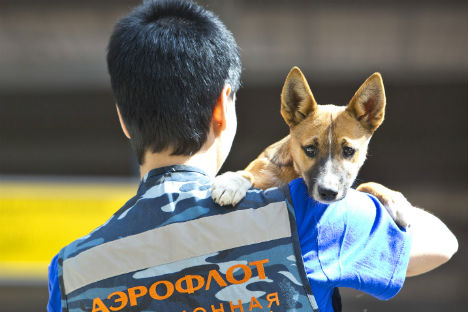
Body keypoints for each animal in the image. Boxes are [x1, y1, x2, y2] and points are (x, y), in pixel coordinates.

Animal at [211, 66, 410, 227]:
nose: (328, 193)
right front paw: (232, 182)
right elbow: (248, 173)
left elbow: (367, 184)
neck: (294, 173)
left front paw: (395, 200)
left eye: (348, 150)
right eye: (309, 149)